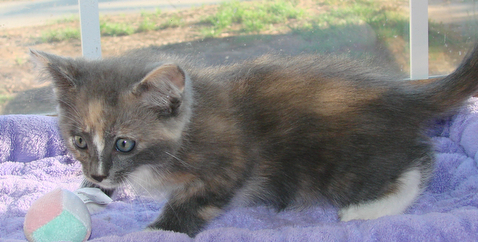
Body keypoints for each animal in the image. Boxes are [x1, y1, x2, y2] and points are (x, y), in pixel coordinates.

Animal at [30, 43, 478, 236]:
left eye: (125, 144)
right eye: (79, 141)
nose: (99, 174)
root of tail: (400, 96)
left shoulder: (231, 161)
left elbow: (192, 203)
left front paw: (156, 232)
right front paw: (90, 192)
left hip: (343, 164)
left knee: (420, 159)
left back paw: (368, 209)